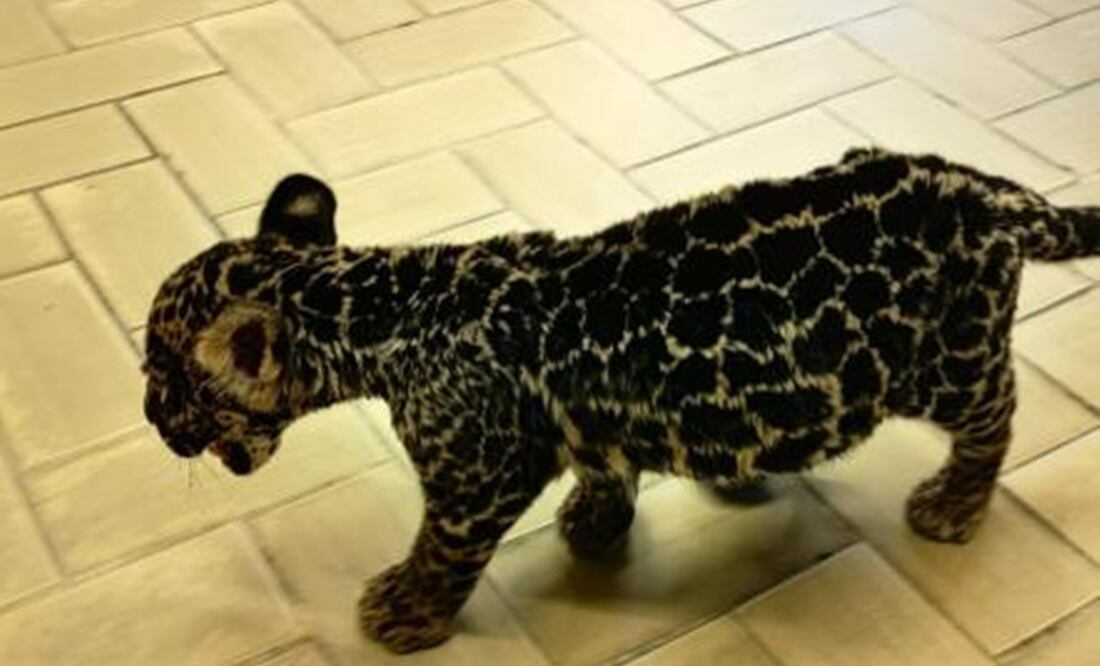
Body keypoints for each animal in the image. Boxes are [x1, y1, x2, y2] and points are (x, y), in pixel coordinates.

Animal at [142, 147, 1100, 653]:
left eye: (164, 376)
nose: (152, 420)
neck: (382, 308)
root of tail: (988, 188)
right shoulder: (585, 416)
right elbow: (603, 463)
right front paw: (595, 521)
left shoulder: (474, 480)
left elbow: (442, 549)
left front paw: (404, 611)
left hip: (951, 358)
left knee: (998, 414)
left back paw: (952, 504)